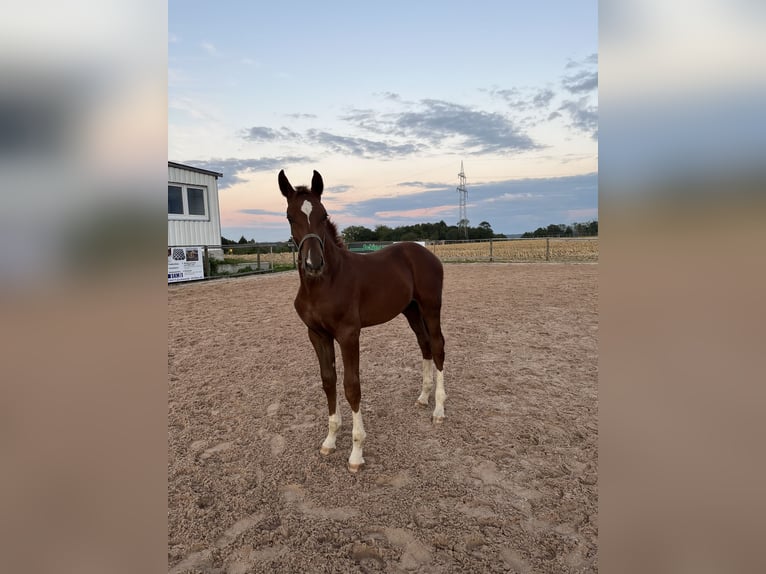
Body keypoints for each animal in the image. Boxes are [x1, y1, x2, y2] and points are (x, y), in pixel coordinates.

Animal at [280, 170, 448, 472]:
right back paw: (423, 397)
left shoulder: (349, 334)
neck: (324, 283)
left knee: (438, 346)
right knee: (425, 345)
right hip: (411, 311)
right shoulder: (317, 334)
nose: (313, 264)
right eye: (290, 216)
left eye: (323, 214)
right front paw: (330, 440)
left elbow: (352, 386)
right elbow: (328, 381)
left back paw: (439, 409)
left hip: (430, 307)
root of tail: (425, 252)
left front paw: (356, 452)